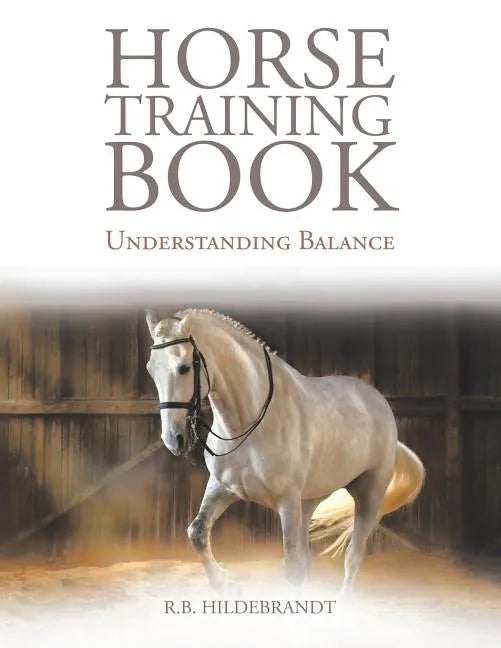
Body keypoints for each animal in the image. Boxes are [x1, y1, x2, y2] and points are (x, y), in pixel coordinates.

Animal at [145, 308, 425, 593]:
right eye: (150, 370)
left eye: (184, 367)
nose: (173, 439)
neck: (250, 424)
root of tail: (378, 401)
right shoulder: (222, 487)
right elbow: (197, 533)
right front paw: (222, 583)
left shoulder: (287, 501)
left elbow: (291, 567)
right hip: (309, 501)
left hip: (369, 492)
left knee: (352, 557)